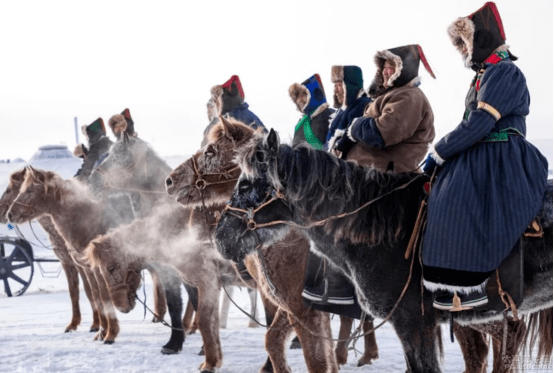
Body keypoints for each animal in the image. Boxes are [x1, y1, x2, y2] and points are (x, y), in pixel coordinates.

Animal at [164, 117, 378, 370]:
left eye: (210, 150)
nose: (170, 180)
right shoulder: (291, 303)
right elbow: (273, 339)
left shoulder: (301, 308)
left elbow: (313, 358)